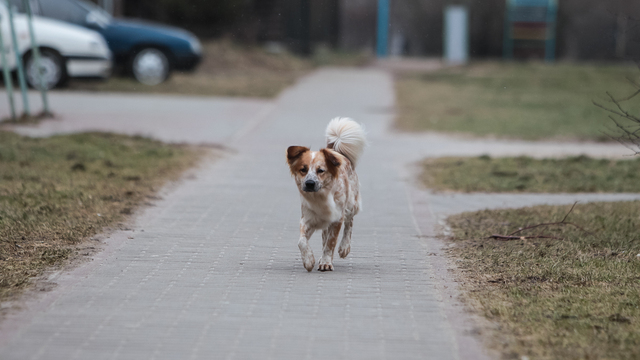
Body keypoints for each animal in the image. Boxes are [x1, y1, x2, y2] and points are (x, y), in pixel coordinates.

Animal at [284, 116, 364, 272]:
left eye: (321, 170)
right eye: (303, 169)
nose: (310, 183)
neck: (320, 197)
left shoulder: (337, 218)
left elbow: (331, 243)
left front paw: (326, 262)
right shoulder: (307, 219)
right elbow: (301, 242)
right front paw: (309, 260)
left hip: (352, 204)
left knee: (349, 223)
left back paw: (344, 247)